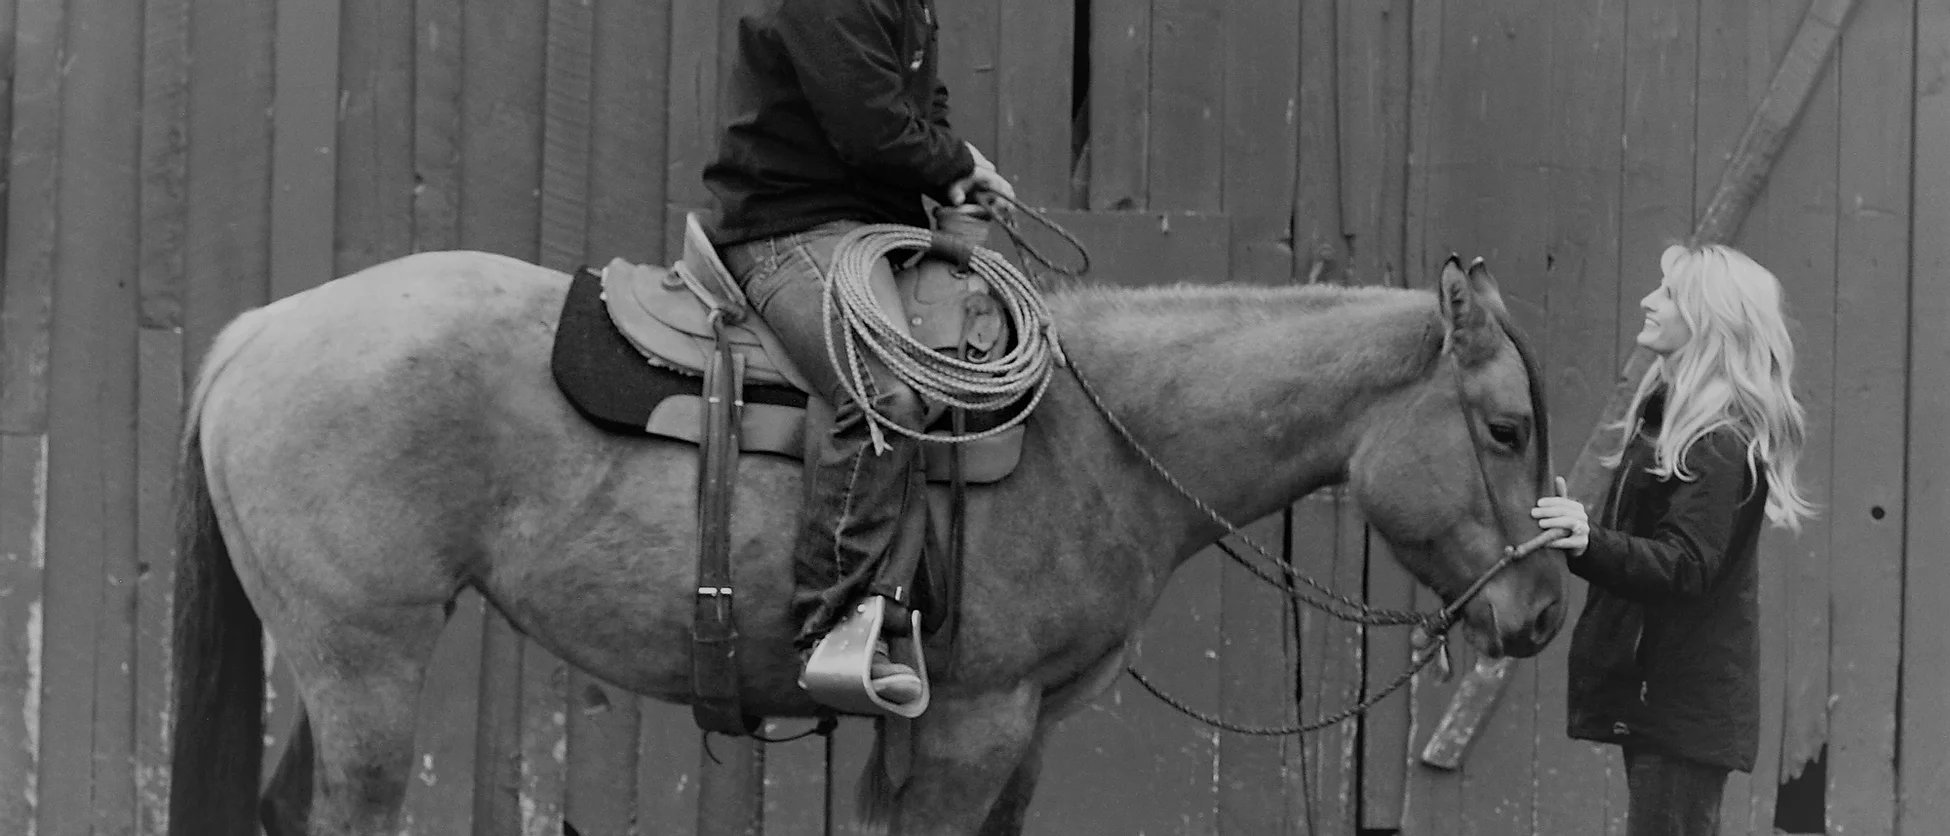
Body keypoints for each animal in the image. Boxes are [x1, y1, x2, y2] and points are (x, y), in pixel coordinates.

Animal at [166, 248, 1567, 836]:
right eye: (1503, 429)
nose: (1546, 611)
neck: (1099, 436)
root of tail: (257, 331)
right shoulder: (972, 725)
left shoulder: (1002, 735)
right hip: (365, 656)